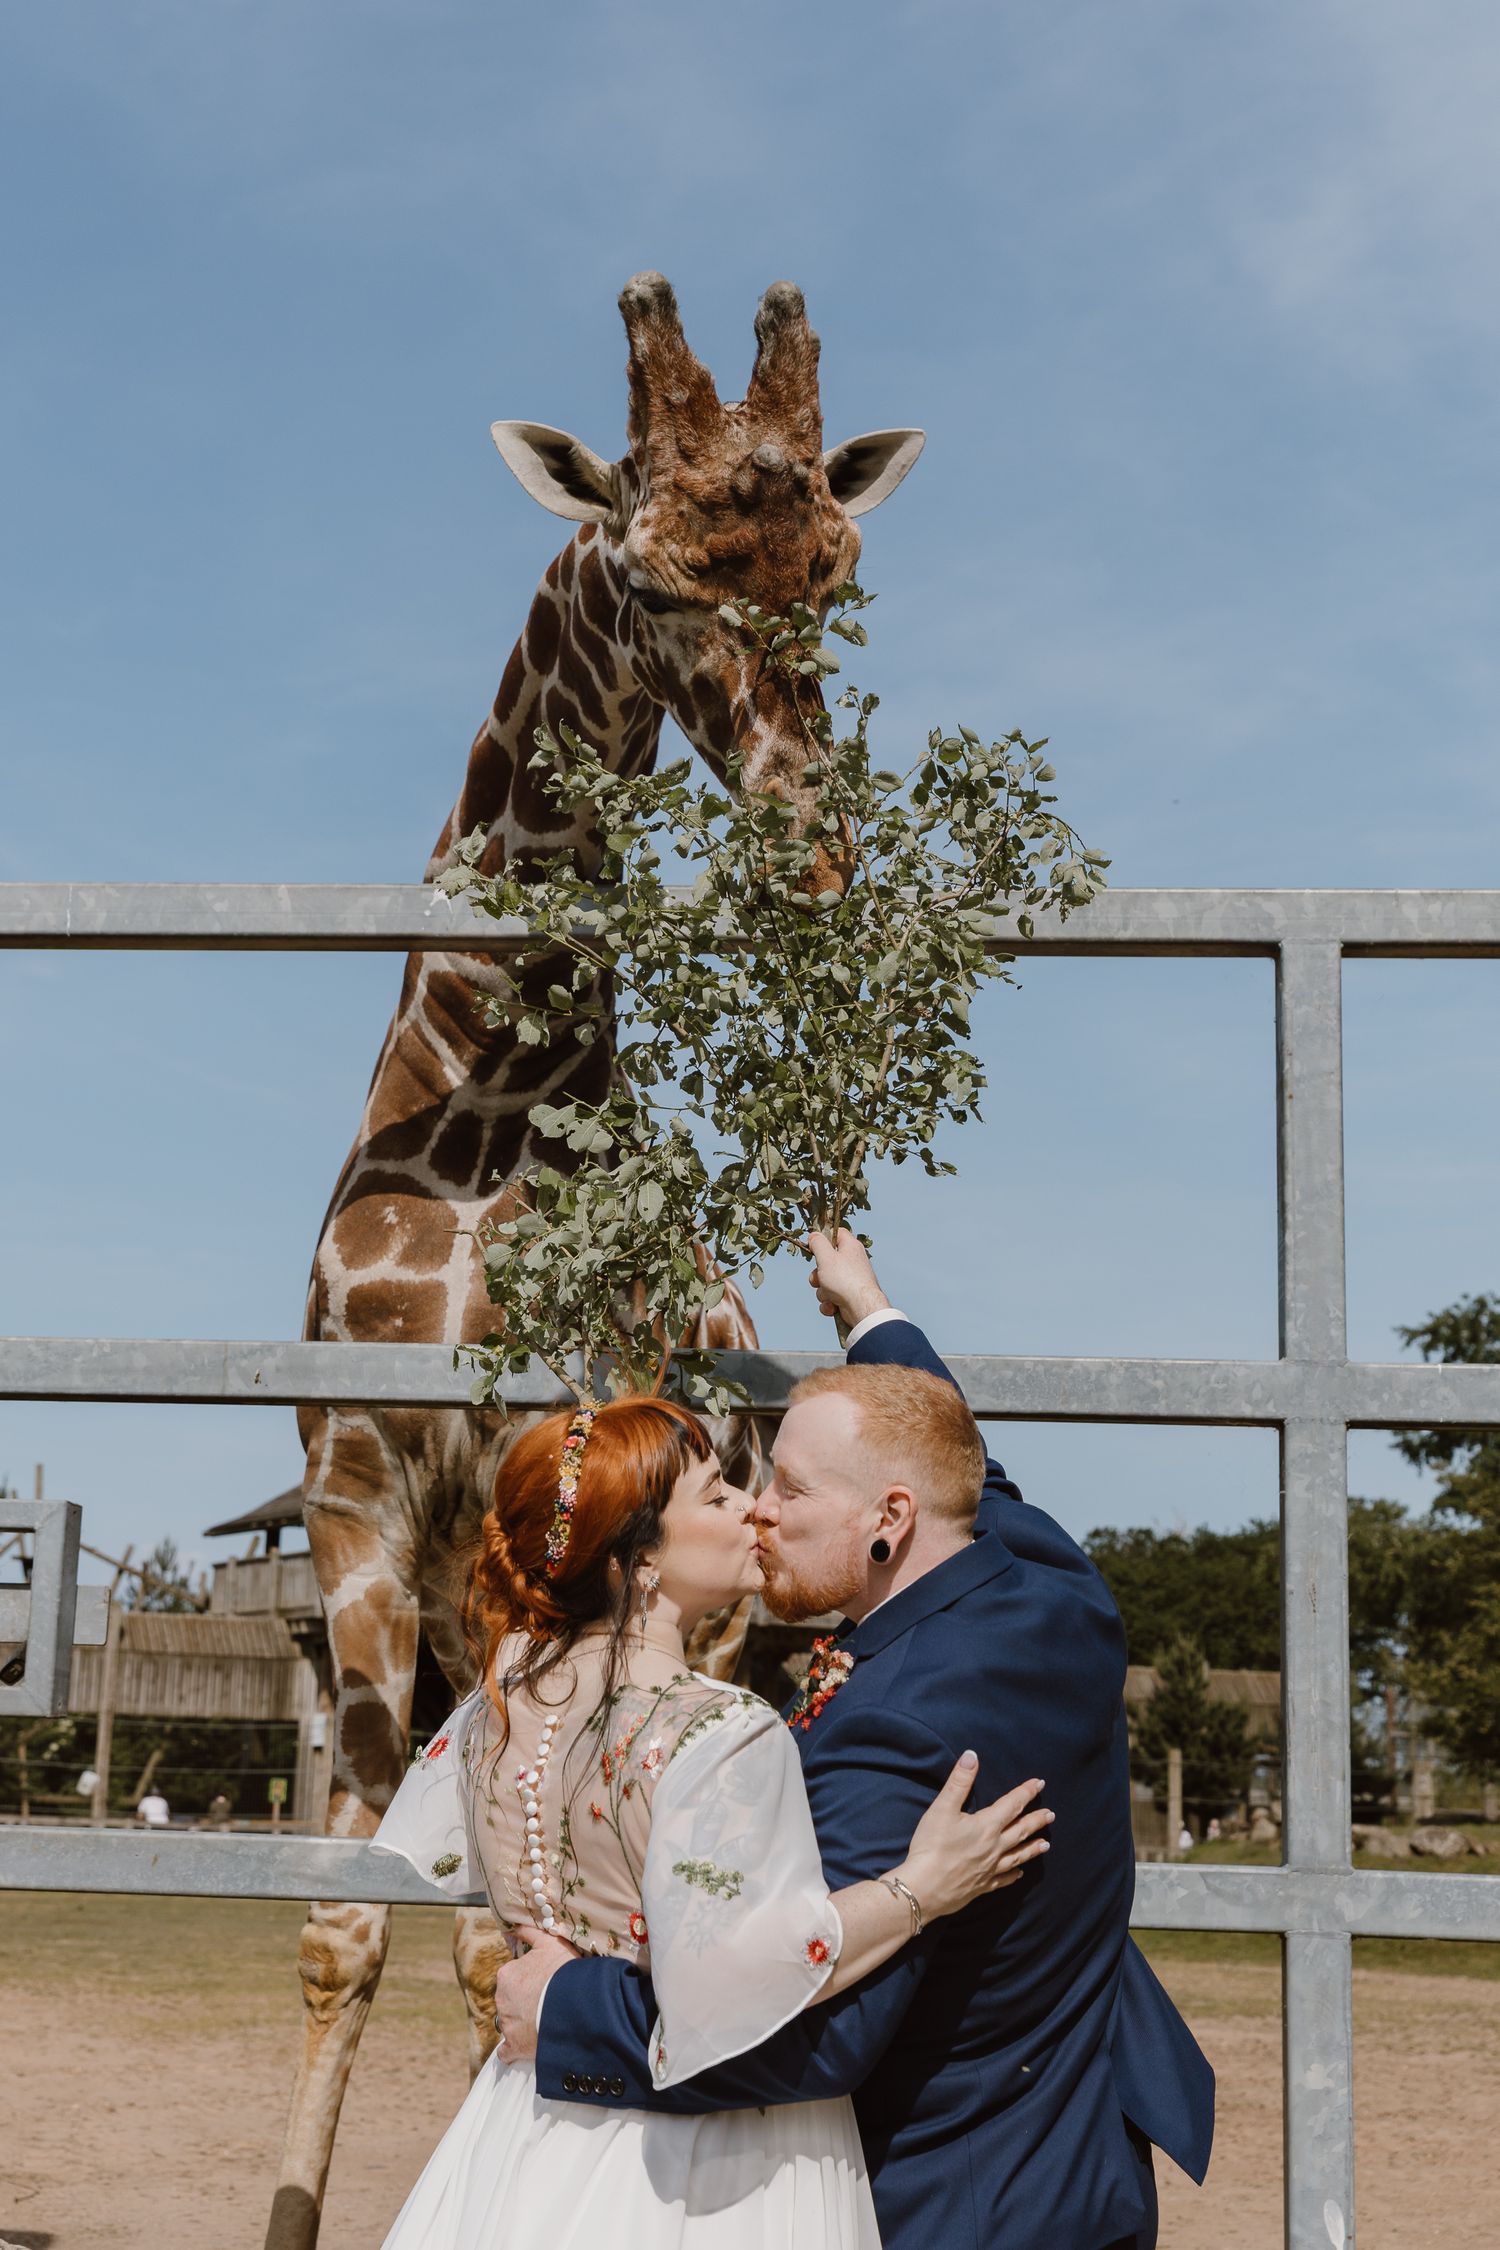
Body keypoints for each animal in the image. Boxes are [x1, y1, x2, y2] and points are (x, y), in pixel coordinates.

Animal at [266, 273, 924, 2250]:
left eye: (838, 576)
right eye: (651, 574)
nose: (814, 850)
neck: (494, 1104)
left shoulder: (556, 1521)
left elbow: (501, 1947)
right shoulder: (357, 1509)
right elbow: (349, 1930)